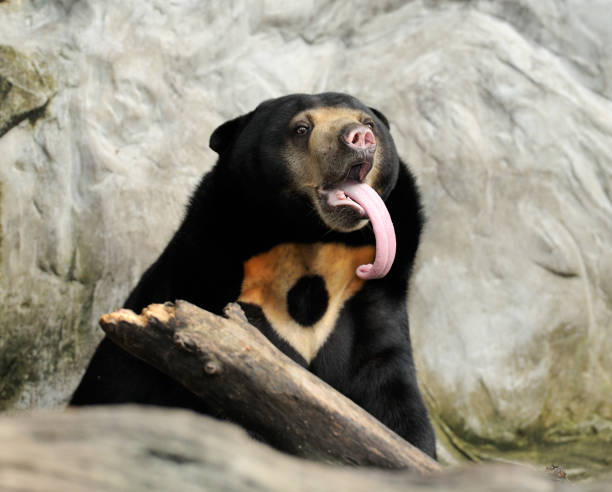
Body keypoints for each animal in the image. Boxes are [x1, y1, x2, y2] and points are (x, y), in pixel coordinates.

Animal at [70, 91, 436, 458]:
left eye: (368, 123)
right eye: (302, 128)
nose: (360, 138)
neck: (311, 239)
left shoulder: (369, 291)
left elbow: (388, 387)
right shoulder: (217, 282)